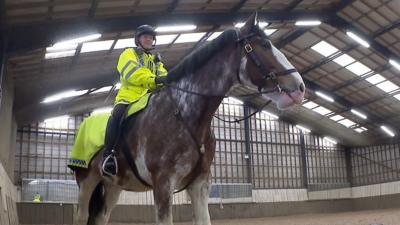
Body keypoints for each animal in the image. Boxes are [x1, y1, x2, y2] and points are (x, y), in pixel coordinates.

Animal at [73, 12, 304, 225]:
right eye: (264, 45)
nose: (300, 88)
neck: (184, 115)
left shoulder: (199, 185)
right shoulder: (163, 185)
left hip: (113, 185)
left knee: (102, 217)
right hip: (87, 182)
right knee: (81, 215)